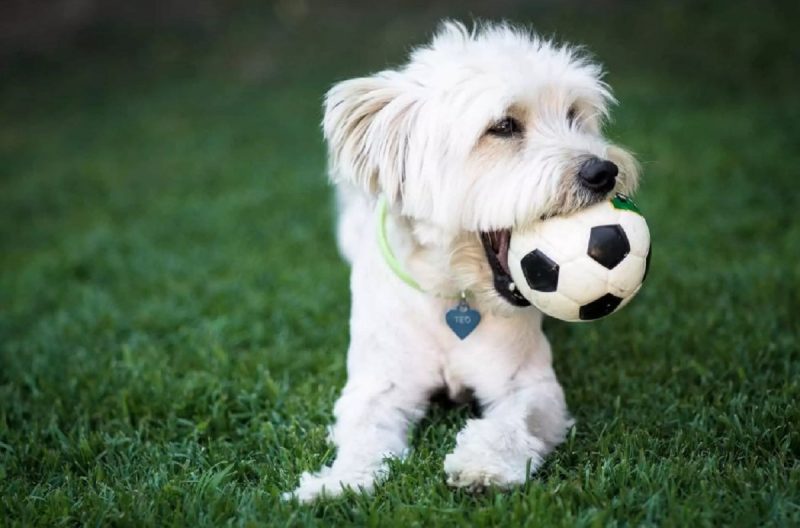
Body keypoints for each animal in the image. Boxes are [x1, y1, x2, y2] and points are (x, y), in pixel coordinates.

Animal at [282, 19, 636, 504]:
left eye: (573, 114)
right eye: (503, 126)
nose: (603, 172)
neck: (452, 293)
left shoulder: (529, 384)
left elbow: (512, 421)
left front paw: (482, 465)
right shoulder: (376, 386)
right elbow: (364, 434)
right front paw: (340, 481)